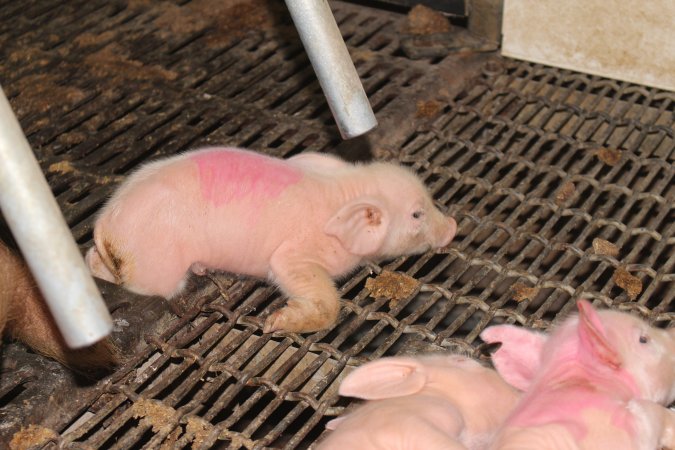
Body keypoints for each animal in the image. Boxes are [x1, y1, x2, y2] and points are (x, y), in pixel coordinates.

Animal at [86, 147, 457, 333]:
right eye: (417, 215)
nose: (452, 226)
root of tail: (104, 222)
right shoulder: (292, 255)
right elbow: (324, 299)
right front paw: (274, 323)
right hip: (155, 265)